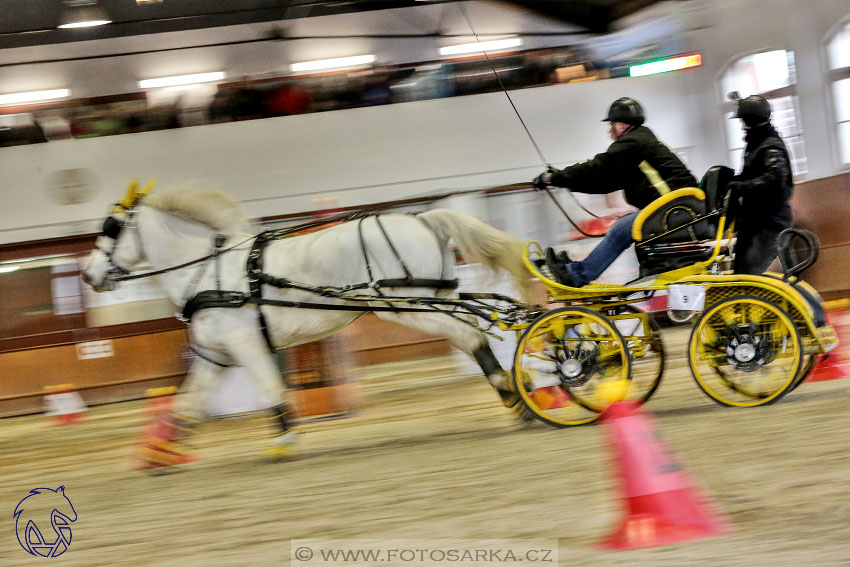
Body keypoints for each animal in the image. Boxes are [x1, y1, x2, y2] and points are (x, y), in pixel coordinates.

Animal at [81, 183, 528, 470]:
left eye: (111, 228)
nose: (87, 274)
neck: (210, 272)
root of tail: (424, 218)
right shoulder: (214, 355)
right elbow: (186, 403)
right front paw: (159, 452)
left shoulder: (246, 344)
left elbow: (270, 389)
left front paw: (283, 440)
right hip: (434, 298)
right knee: (474, 330)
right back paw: (515, 394)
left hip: (406, 306)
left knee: (470, 335)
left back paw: (514, 397)